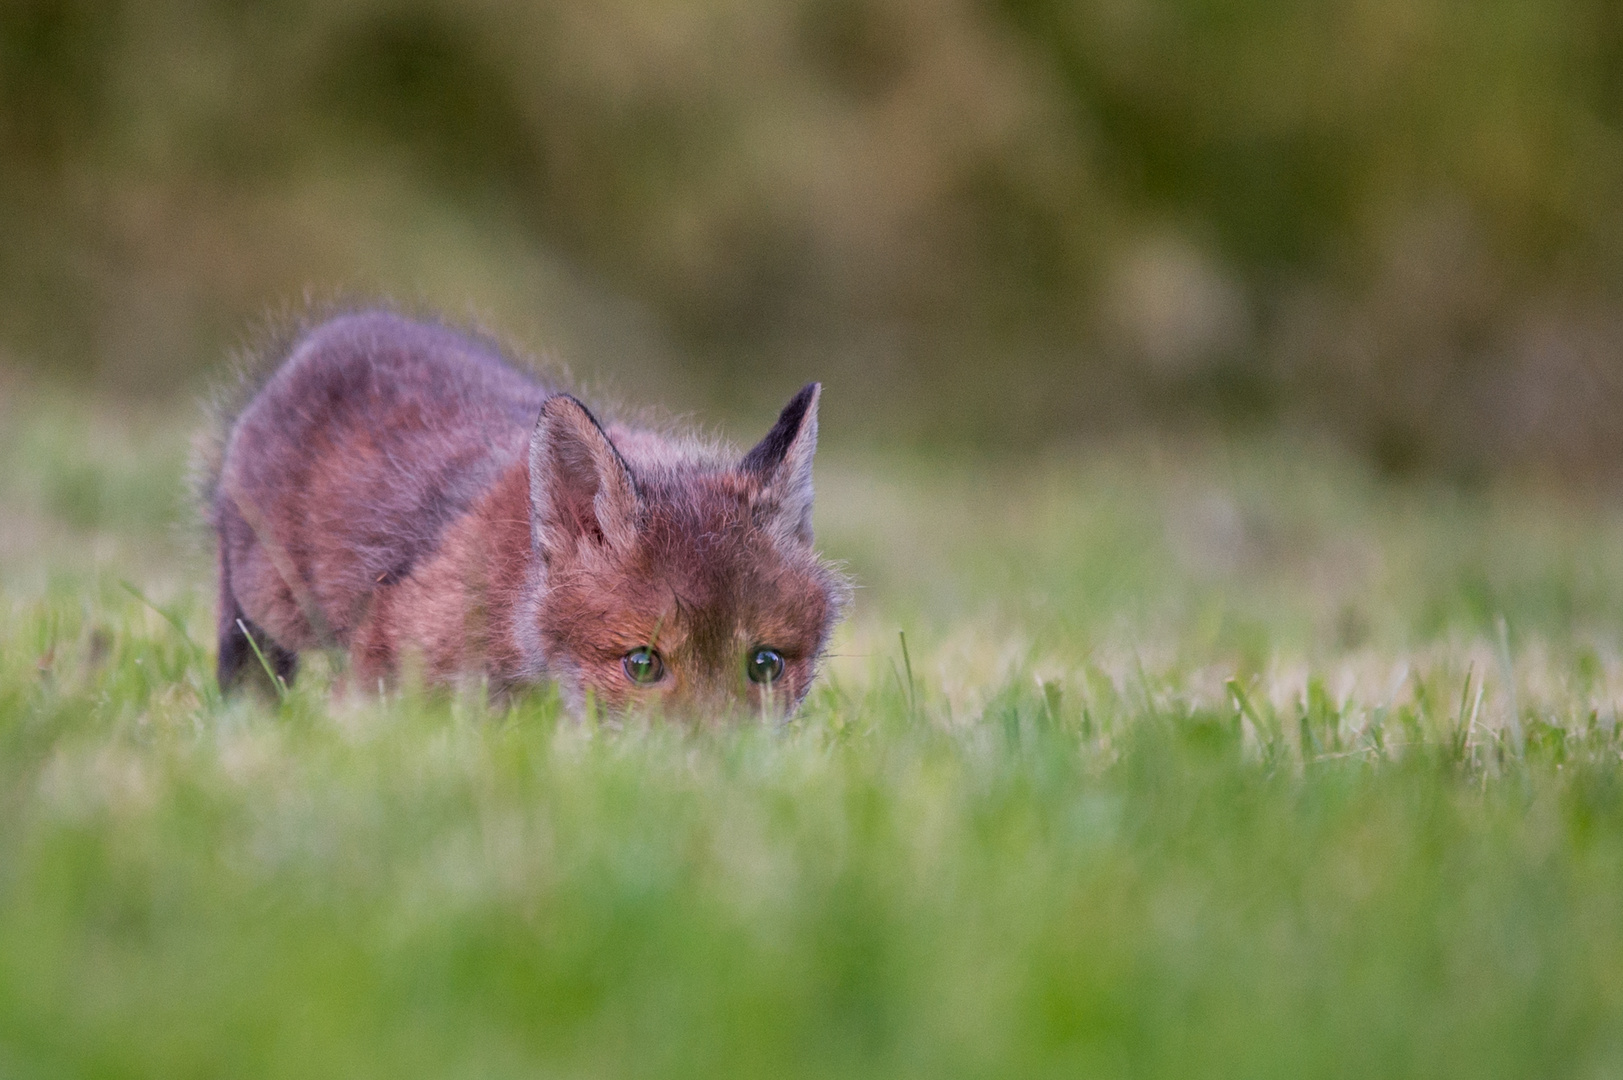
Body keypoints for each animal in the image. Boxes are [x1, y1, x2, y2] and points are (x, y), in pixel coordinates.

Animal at [202, 310, 850, 714]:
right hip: (265, 606)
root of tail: (332, 333)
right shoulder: (383, 668)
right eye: (642, 665)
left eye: (764, 664)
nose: (713, 765)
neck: (517, 598)